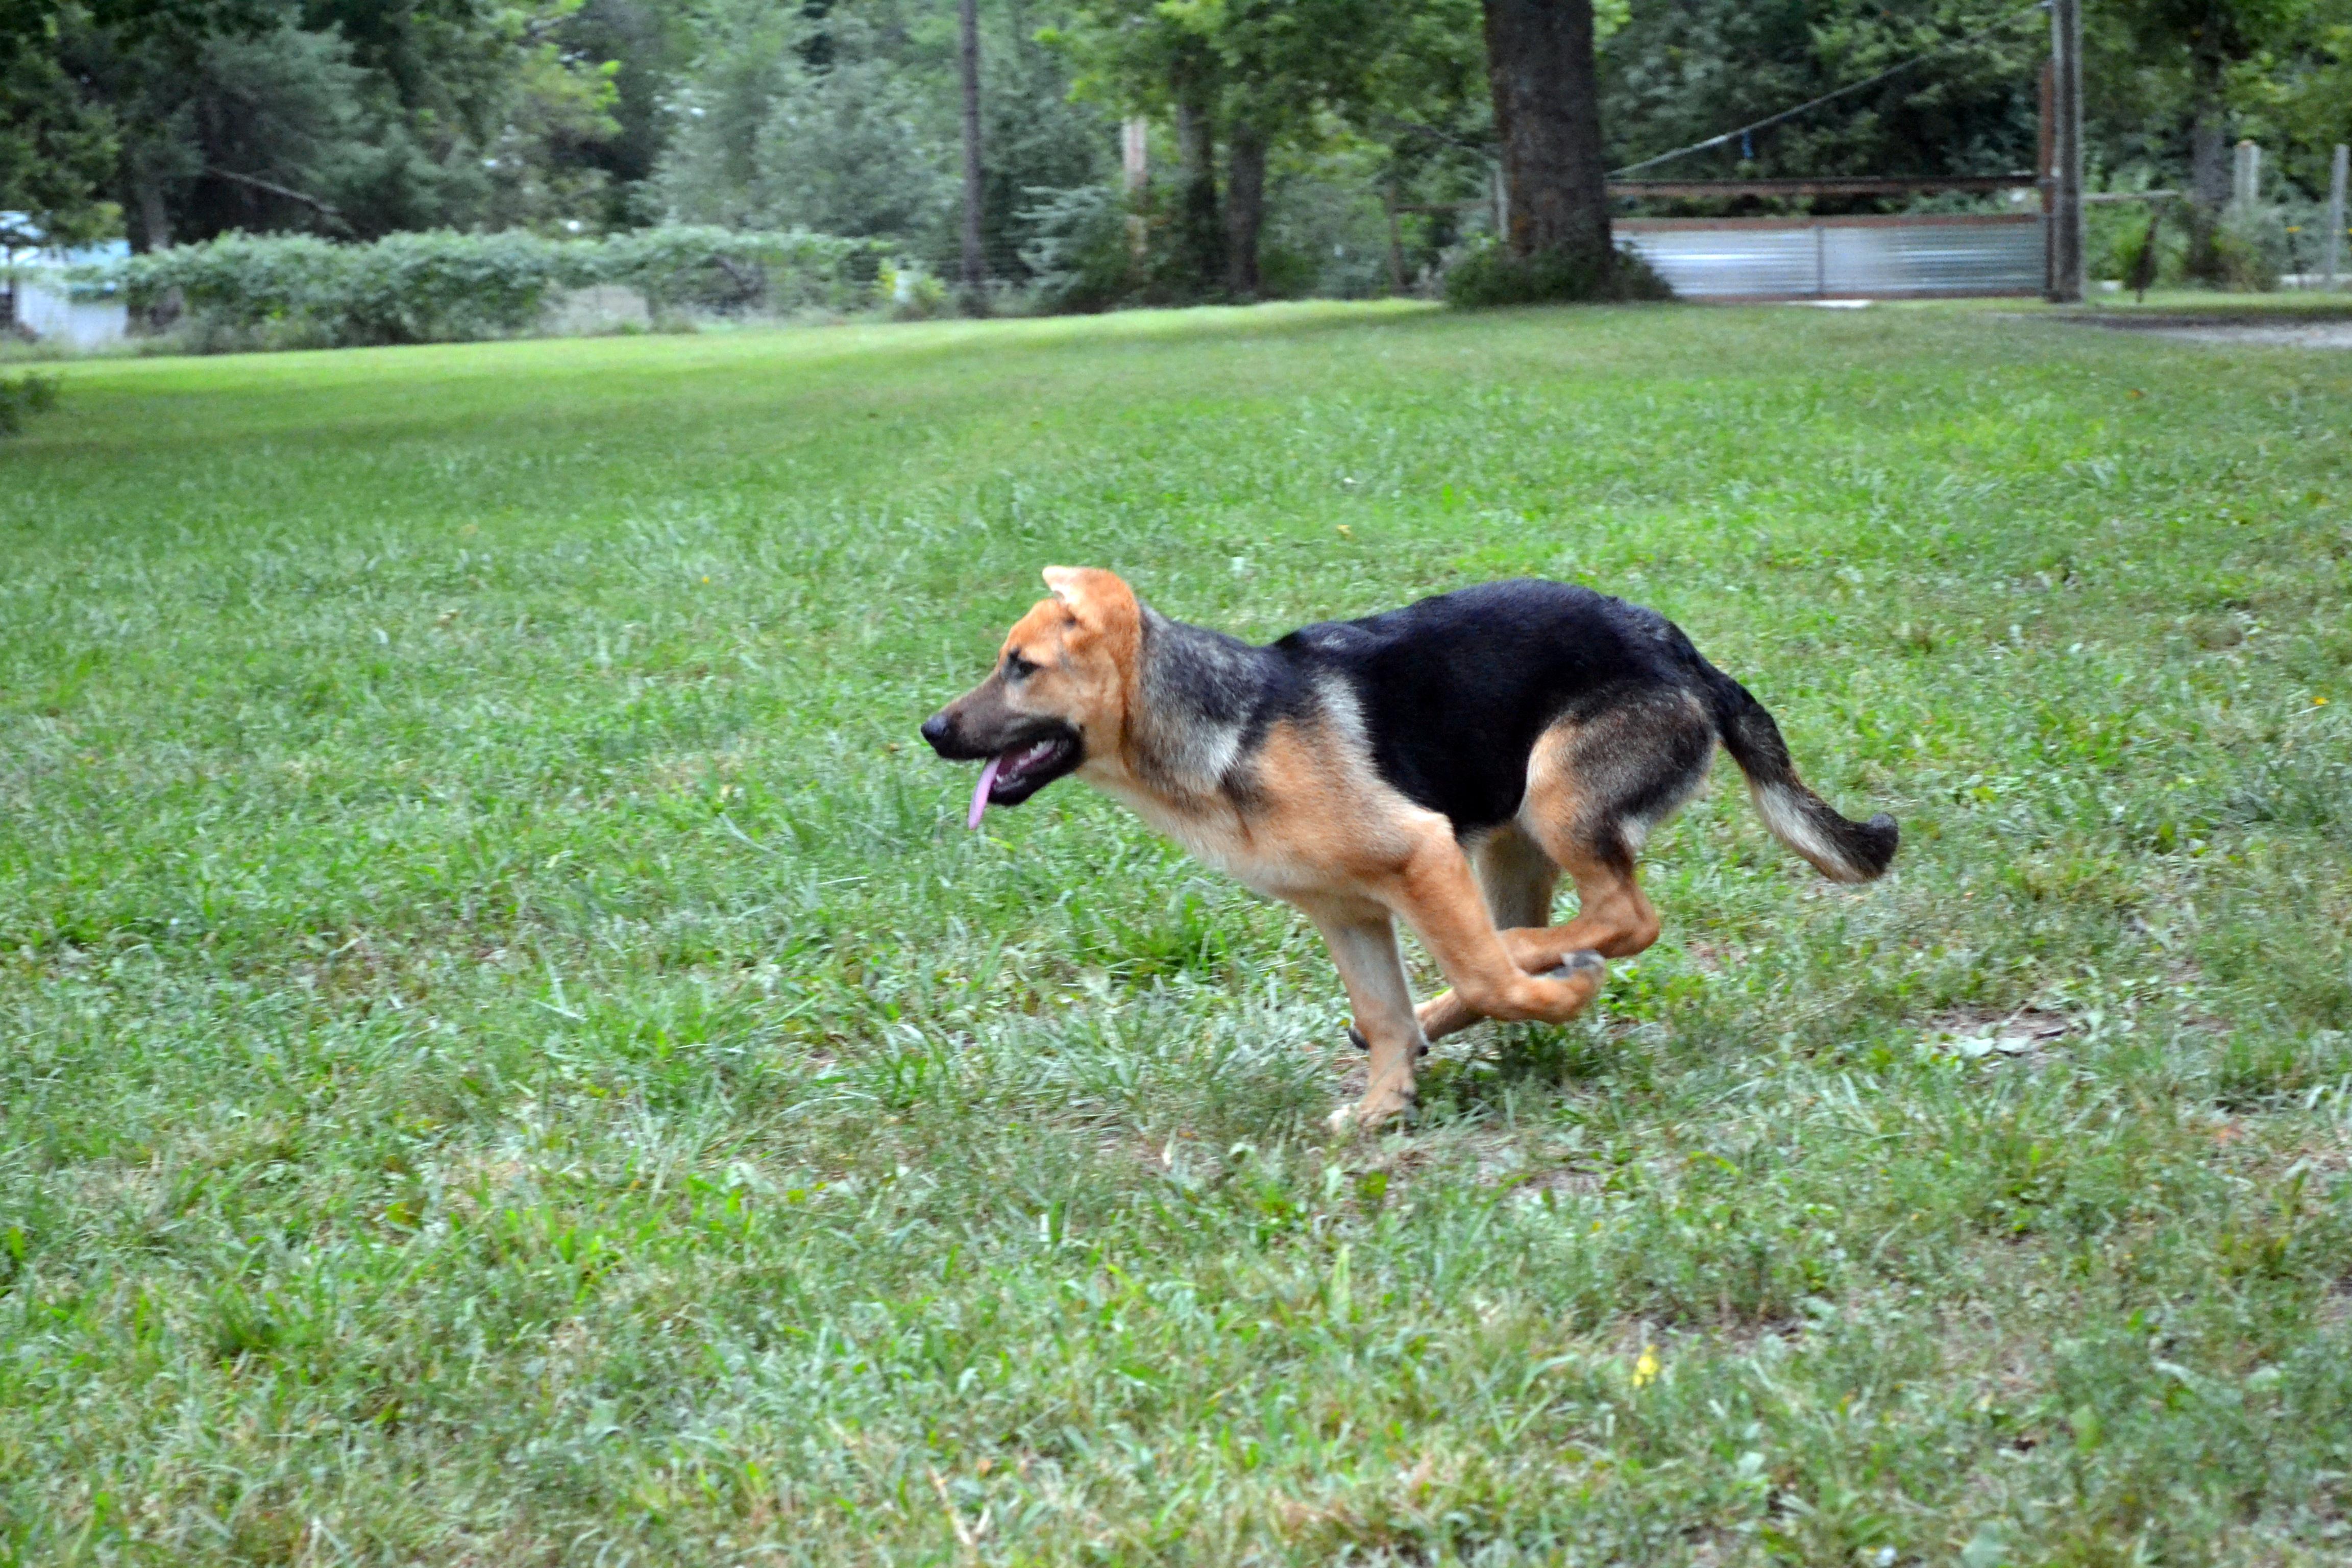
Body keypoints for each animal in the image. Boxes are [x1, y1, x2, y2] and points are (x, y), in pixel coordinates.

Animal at [921, 569, 1897, 1130]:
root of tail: (1683, 653)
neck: (1231, 734)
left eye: (1020, 667)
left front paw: (1550, 996)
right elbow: (1386, 1012)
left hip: (1554, 800)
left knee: (1617, 920)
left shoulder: (1421, 855)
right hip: (1513, 843)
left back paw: (1540, 961)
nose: (930, 731)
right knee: (1561, 933)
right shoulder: (1346, 911)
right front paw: (1383, 1107)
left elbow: (1491, 980)